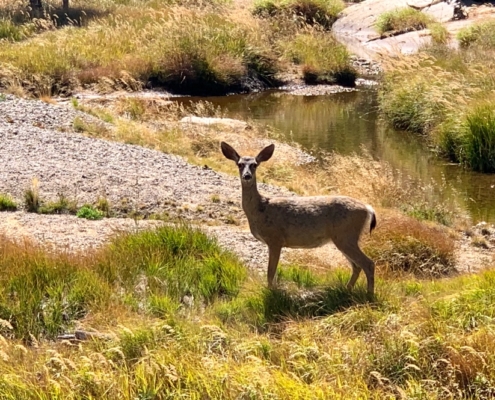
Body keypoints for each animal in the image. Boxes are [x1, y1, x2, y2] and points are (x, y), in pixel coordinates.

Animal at [220, 141, 376, 294]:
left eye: (254, 164)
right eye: (239, 164)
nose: (247, 176)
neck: (260, 209)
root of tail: (368, 209)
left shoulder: (275, 238)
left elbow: (270, 272)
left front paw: (271, 293)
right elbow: (273, 273)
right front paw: (273, 290)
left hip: (346, 235)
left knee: (368, 263)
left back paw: (369, 295)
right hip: (344, 238)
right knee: (357, 266)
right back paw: (347, 289)